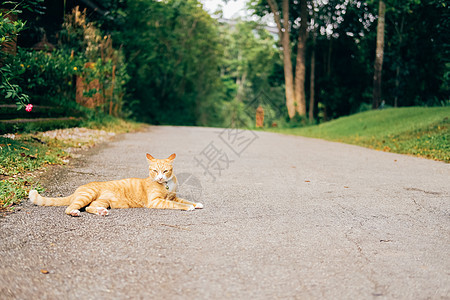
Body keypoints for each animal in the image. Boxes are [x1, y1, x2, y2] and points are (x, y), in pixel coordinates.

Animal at [28, 154, 202, 217]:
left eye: (165, 171)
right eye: (154, 171)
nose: (159, 177)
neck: (166, 185)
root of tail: (78, 188)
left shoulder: (174, 196)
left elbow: (184, 200)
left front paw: (196, 204)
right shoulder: (156, 201)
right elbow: (176, 204)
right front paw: (188, 208)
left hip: (103, 201)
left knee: (90, 207)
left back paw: (101, 212)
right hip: (87, 195)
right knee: (70, 208)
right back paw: (75, 213)